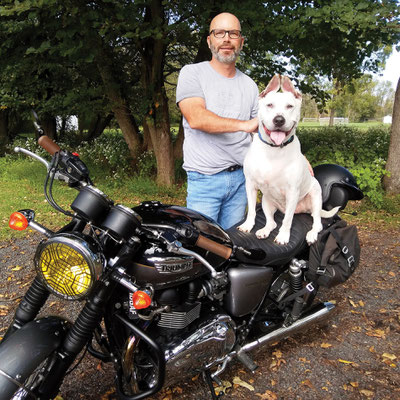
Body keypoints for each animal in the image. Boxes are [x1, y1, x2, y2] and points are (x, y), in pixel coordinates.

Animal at [238, 74, 338, 244]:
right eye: (269, 105)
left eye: (290, 106)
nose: (279, 120)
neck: (273, 150)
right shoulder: (250, 185)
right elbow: (251, 210)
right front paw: (247, 225)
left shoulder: (292, 191)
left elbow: (287, 221)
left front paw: (283, 236)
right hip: (267, 201)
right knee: (271, 222)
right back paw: (264, 230)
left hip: (315, 197)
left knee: (316, 222)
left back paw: (311, 234)